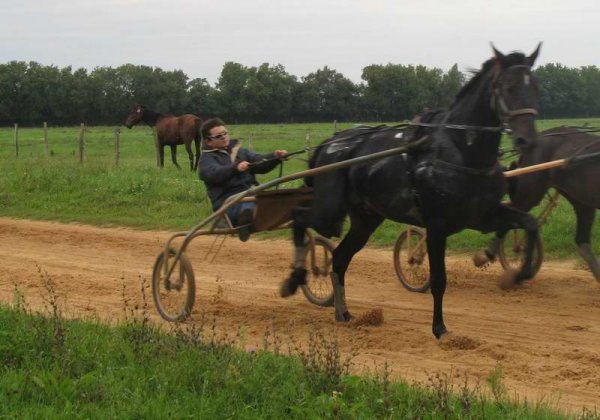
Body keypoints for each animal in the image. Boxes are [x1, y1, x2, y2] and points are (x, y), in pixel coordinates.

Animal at [282, 45, 544, 342]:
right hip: (329, 210)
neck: (461, 152)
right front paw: (439, 328)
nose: (527, 140)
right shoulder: (437, 225)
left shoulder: (484, 216)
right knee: (299, 216)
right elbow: (439, 279)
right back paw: (294, 280)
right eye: (508, 87)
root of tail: (329, 143)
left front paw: (519, 274)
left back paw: (343, 313)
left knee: (339, 257)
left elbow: (529, 223)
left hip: (365, 218)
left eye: (535, 87)